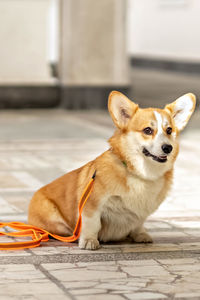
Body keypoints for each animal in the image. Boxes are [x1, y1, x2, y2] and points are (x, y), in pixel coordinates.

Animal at [28, 92, 195, 251]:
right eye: (147, 130)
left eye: (169, 130)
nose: (168, 148)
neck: (141, 173)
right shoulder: (93, 204)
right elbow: (93, 223)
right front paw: (89, 241)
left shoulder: (140, 213)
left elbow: (138, 223)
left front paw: (140, 234)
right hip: (53, 218)